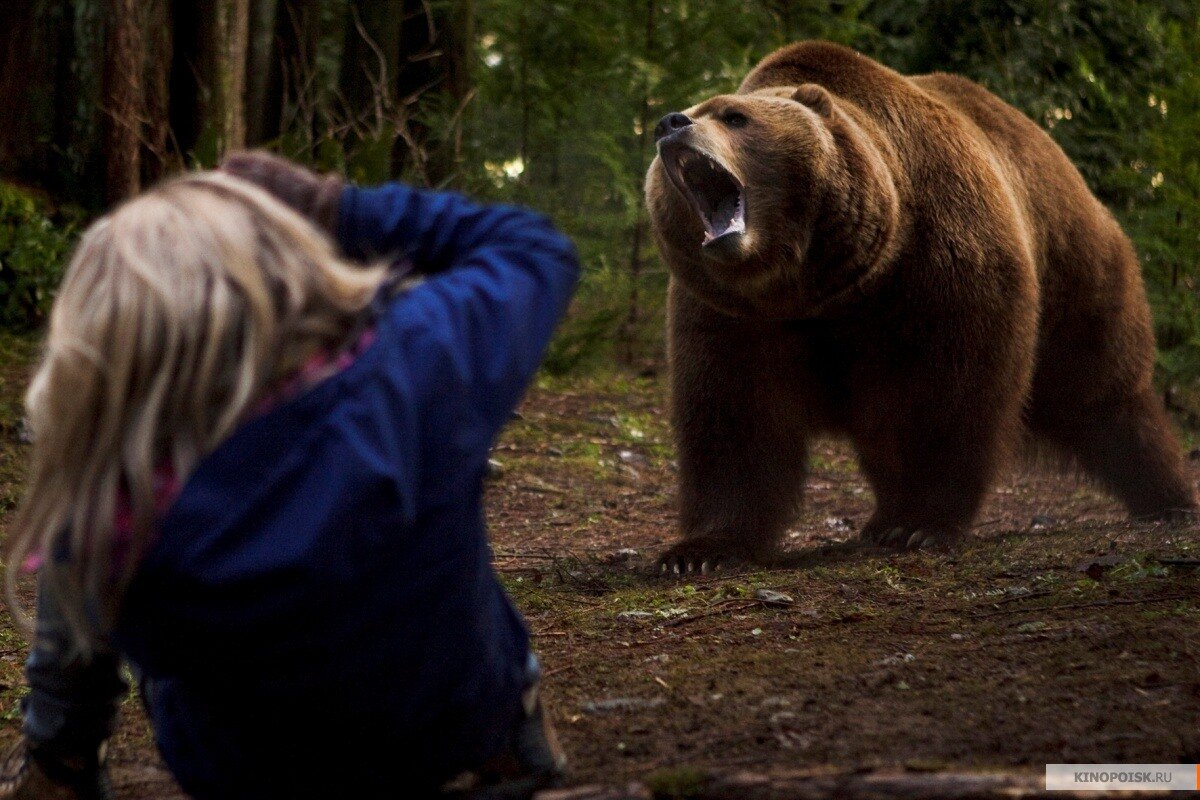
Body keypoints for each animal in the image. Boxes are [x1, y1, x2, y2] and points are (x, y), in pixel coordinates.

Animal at [652, 42, 1195, 568]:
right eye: (696, 109)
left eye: (734, 115)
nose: (669, 124)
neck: (816, 285)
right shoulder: (733, 315)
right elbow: (734, 419)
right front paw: (699, 551)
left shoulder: (937, 266)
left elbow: (945, 396)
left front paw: (921, 524)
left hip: (1075, 271)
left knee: (1105, 394)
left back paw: (1168, 500)